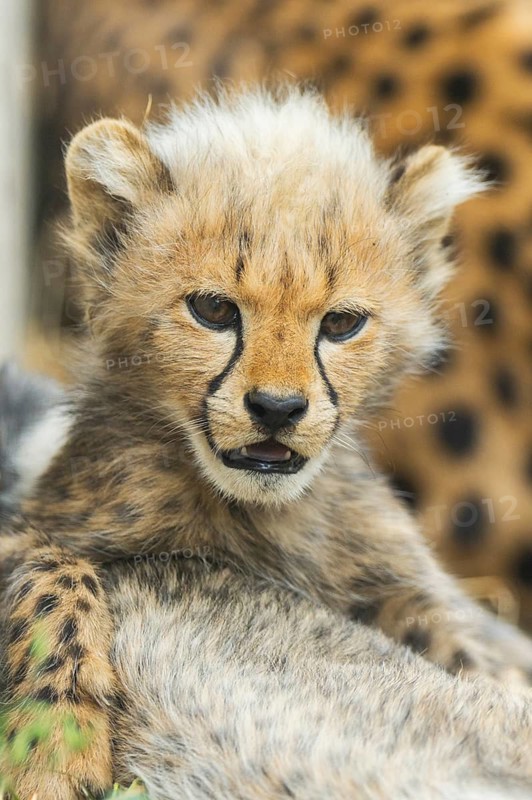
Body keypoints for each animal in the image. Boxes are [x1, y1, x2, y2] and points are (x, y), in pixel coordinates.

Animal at [2, 85, 532, 799]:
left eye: (341, 323)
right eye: (214, 310)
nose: (277, 409)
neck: (255, 513)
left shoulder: (399, 586)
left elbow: (467, 658)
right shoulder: (38, 520)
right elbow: (53, 574)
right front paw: (52, 742)